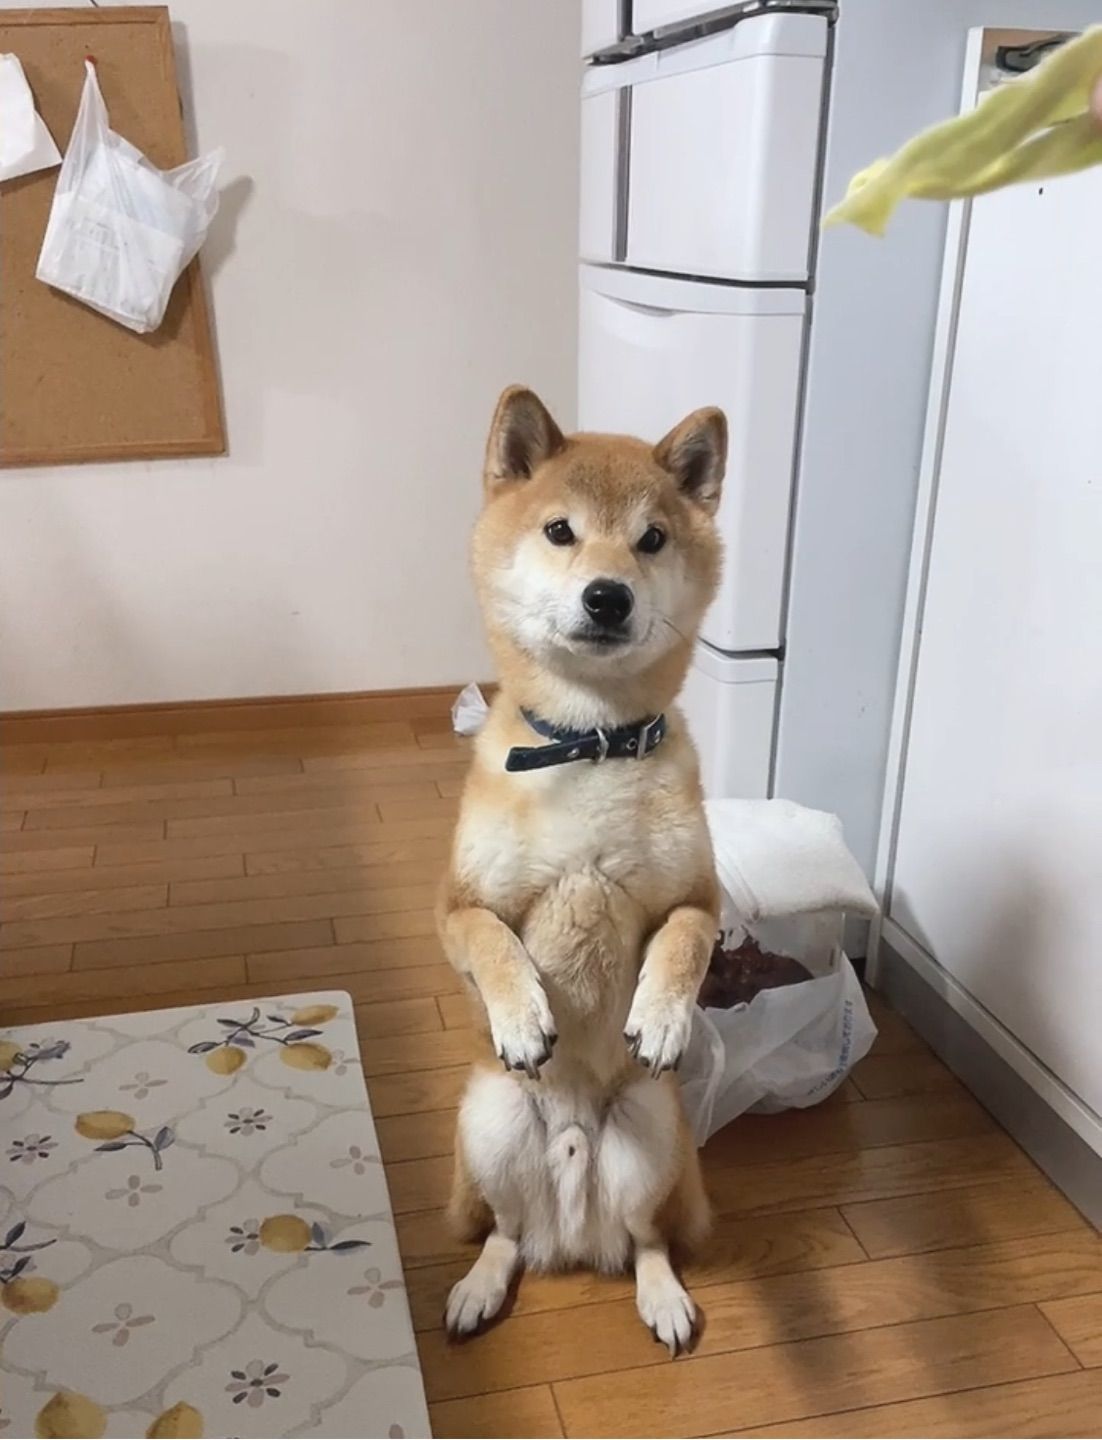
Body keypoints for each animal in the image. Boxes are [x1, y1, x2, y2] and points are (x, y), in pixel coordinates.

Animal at [435, 380, 726, 1347]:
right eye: (560, 531)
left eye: (652, 539)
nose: (607, 596)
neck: (590, 743)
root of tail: (570, 1226)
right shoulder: (456, 905)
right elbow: (494, 942)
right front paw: (524, 1016)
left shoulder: (701, 897)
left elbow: (683, 940)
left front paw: (664, 1018)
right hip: (487, 1120)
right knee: (504, 1231)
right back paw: (480, 1286)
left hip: (653, 1131)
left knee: (648, 1242)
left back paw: (661, 1296)